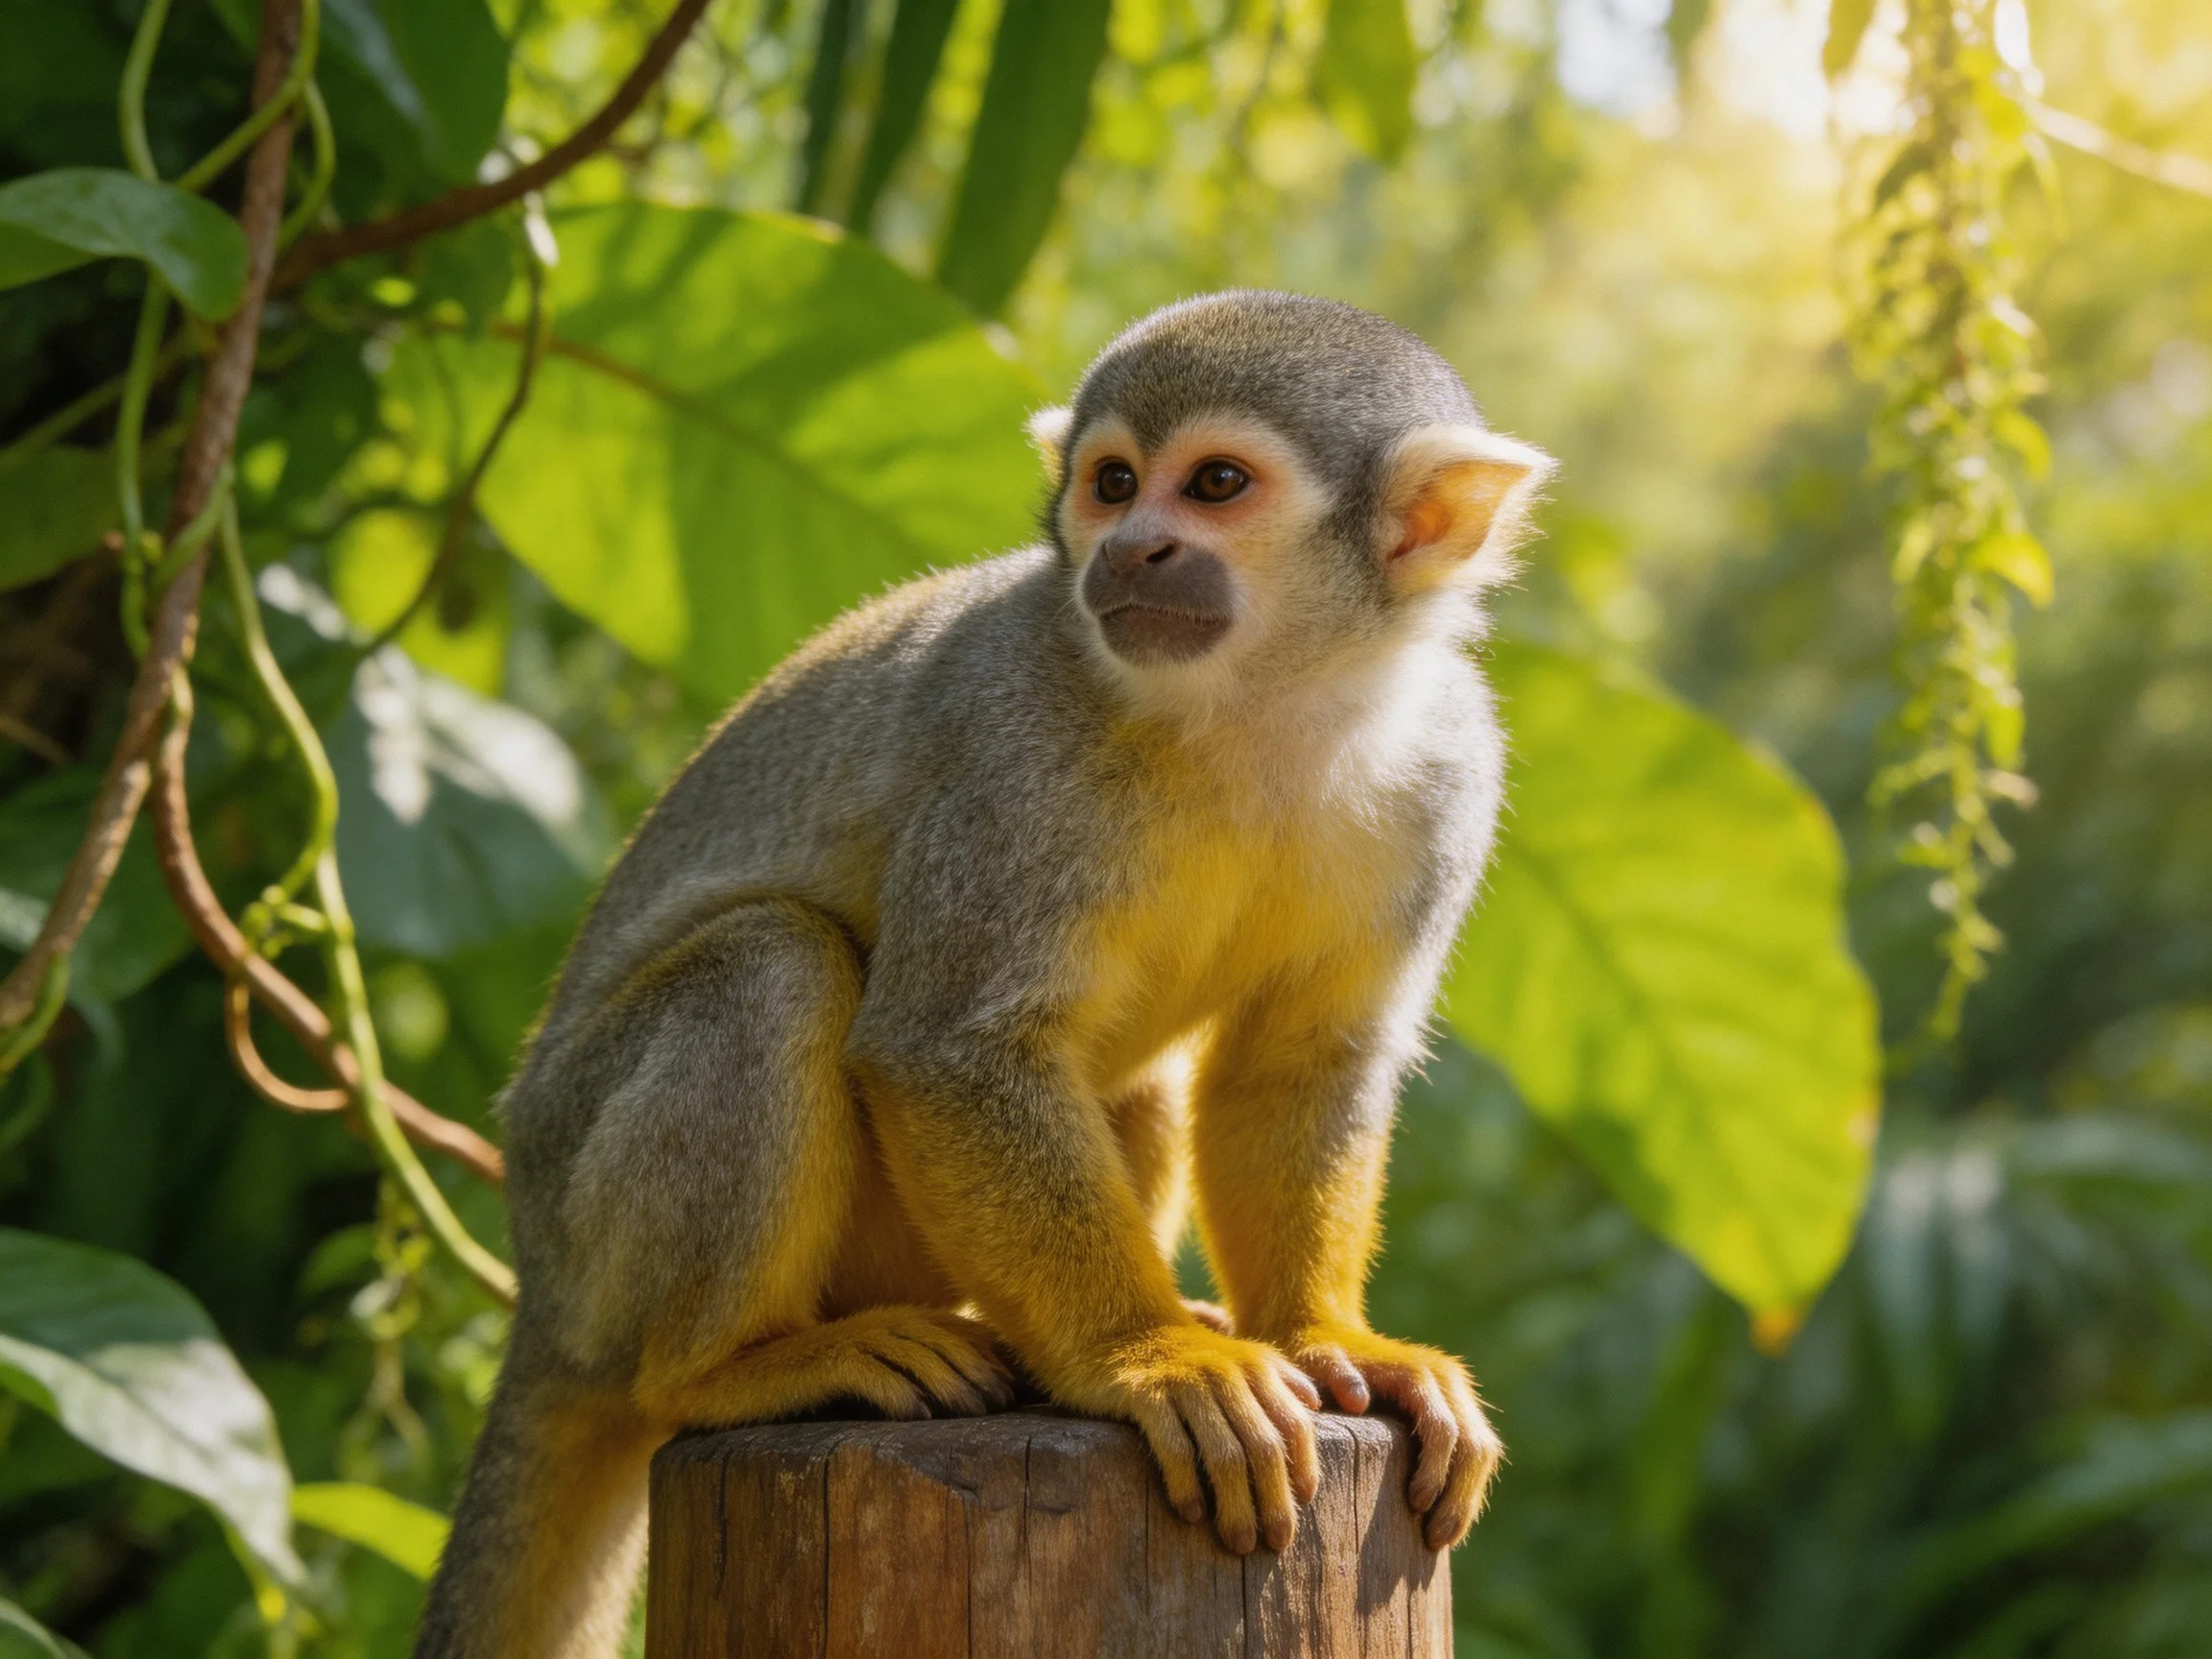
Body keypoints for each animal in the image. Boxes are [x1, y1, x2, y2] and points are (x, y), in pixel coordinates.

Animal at [411, 290, 1555, 1659]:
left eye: (1215, 485)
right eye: (1113, 484)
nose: (1134, 551)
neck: (1256, 709)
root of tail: (533, 1285)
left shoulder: (1453, 772)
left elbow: (1301, 1064)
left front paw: (1329, 1339)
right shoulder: (1016, 747)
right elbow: (943, 1051)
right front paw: (1145, 1358)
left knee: (1126, 1086)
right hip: (580, 1220)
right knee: (771, 965)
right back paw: (729, 1367)